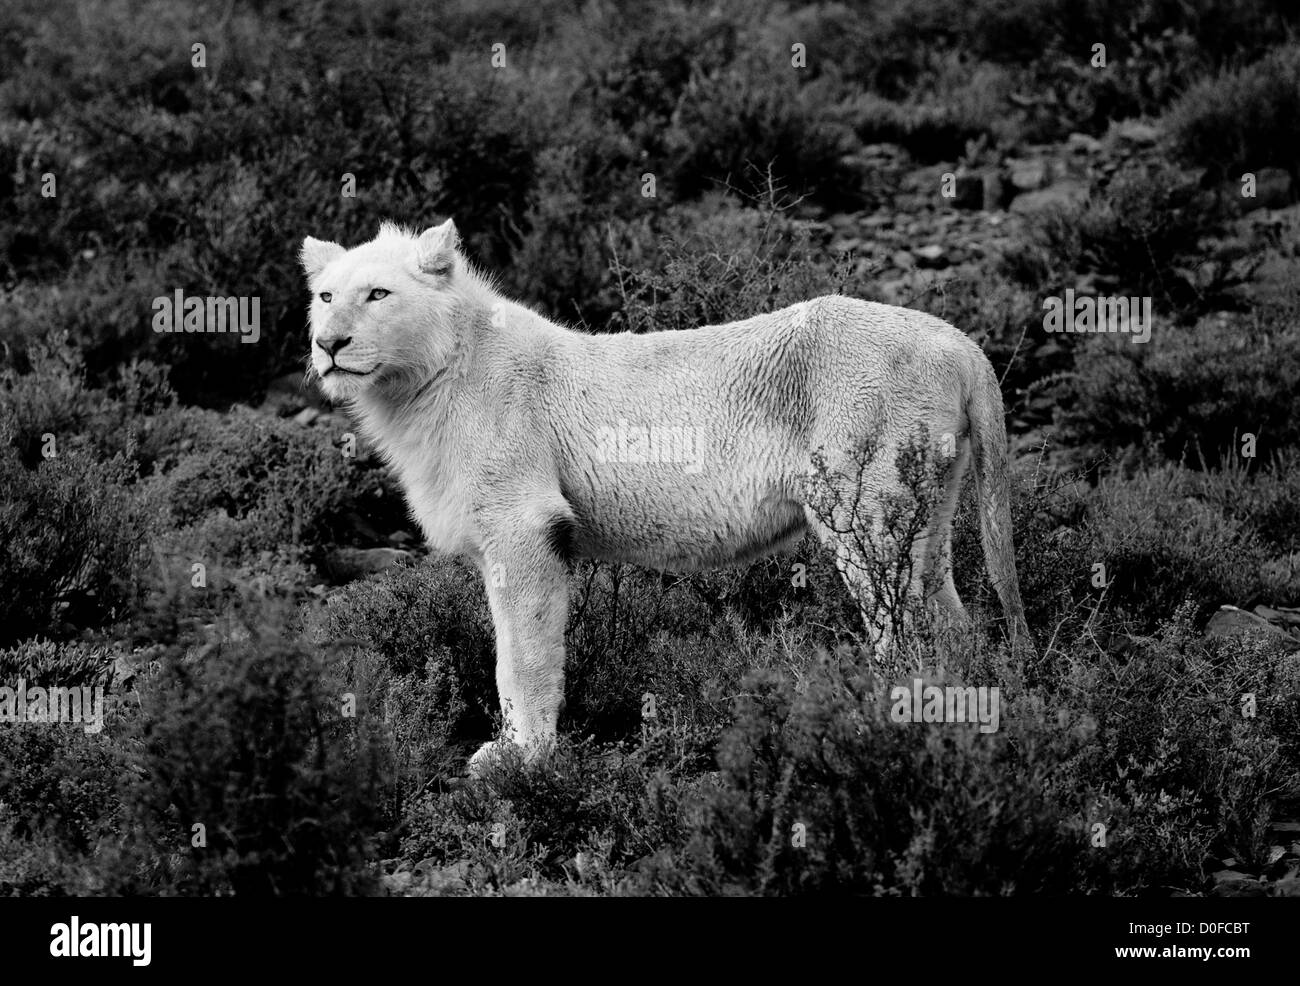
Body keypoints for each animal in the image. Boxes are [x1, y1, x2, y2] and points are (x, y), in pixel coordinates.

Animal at [300, 219, 1031, 776]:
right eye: (325, 295)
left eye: (378, 293)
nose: (328, 344)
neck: (417, 388)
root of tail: (960, 343)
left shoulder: (525, 522)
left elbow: (522, 655)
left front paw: (520, 759)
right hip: (926, 505)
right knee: (952, 621)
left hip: (863, 505)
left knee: (904, 629)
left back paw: (874, 723)